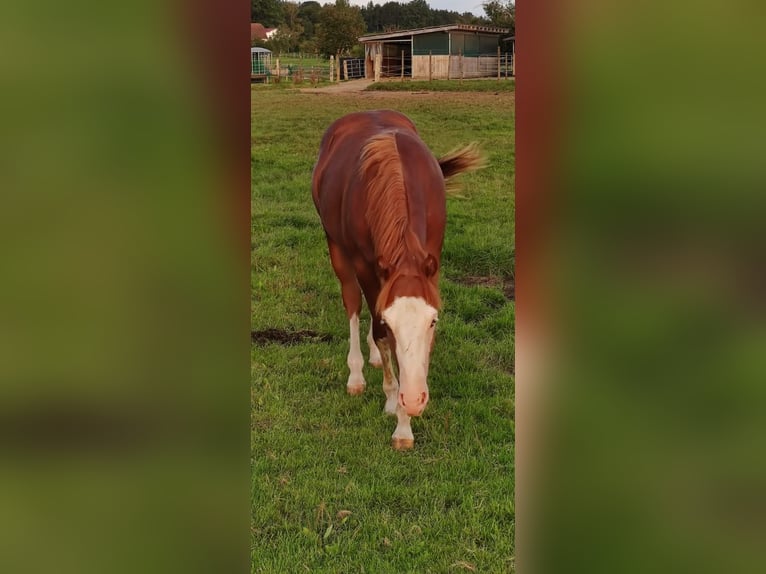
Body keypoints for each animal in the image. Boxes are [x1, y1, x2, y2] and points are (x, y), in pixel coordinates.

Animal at [312, 109, 483, 449]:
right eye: (392, 323)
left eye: (433, 322)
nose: (414, 399)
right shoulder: (366, 265)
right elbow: (380, 330)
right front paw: (398, 412)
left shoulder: (431, 260)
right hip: (336, 245)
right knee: (352, 301)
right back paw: (357, 373)